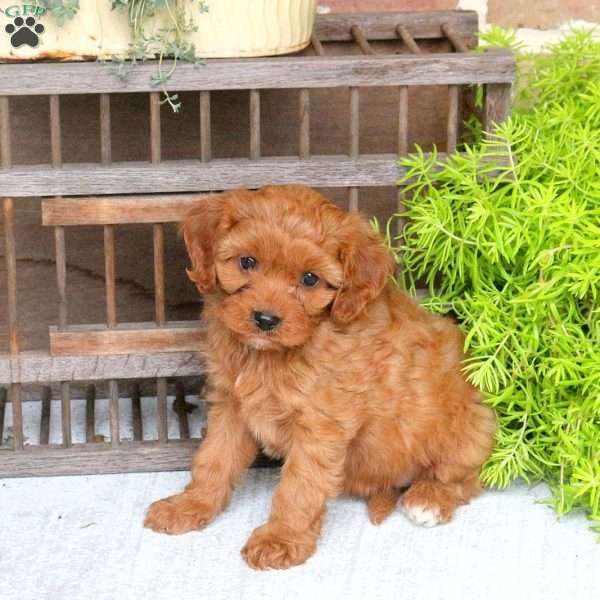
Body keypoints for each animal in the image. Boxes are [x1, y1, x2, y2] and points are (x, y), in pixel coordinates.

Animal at [145, 185, 496, 568]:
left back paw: (429, 499)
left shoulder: (321, 425)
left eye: (310, 279)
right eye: (247, 262)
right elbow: (214, 459)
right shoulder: (231, 406)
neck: (273, 356)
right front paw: (190, 505)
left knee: (467, 479)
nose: (265, 319)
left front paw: (281, 538)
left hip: (470, 429)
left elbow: (300, 485)